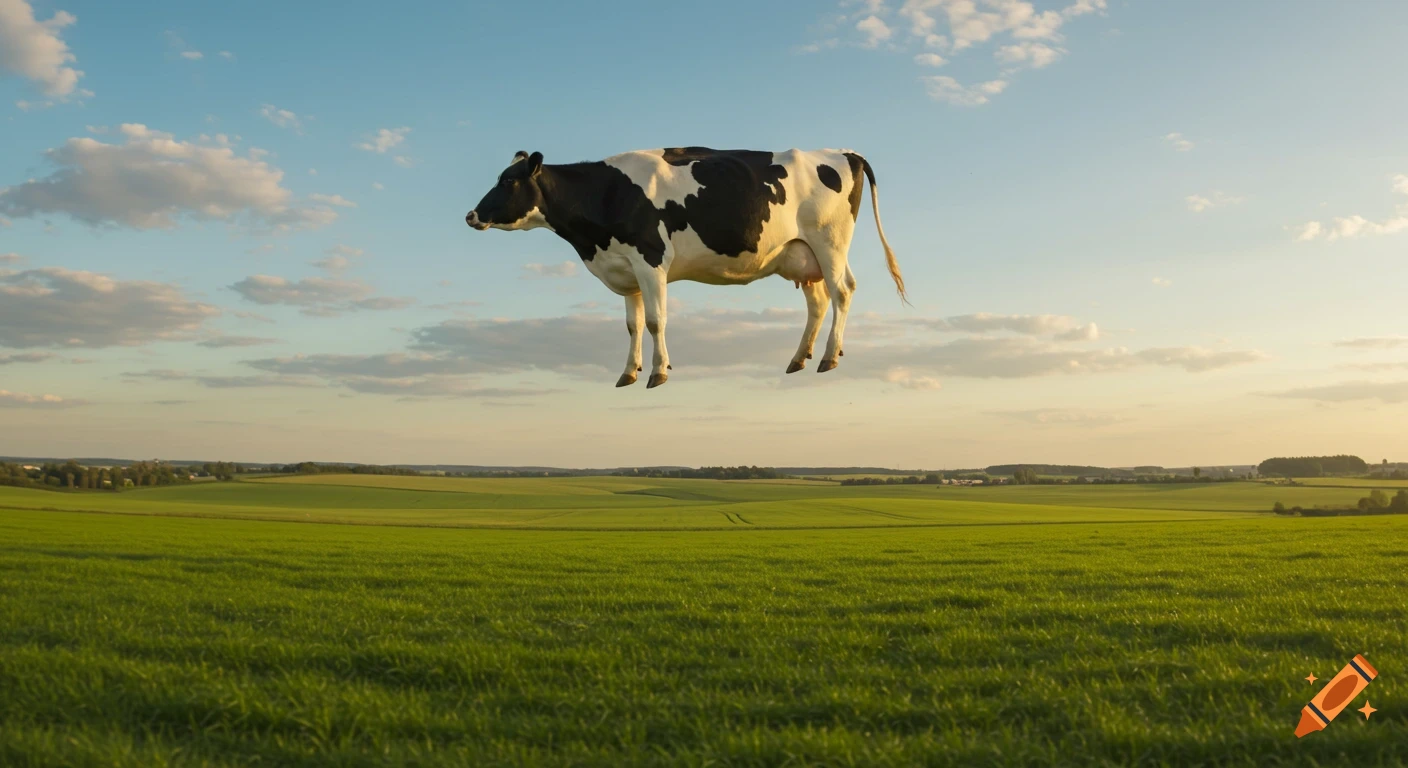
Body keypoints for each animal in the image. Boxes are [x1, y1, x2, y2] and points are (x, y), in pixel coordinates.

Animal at [465, 147, 906, 389]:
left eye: (507, 181)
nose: (471, 215)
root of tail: (844, 152)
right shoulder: (625, 269)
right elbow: (633, 325)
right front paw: (628, 372)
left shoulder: (651, 259)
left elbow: (656, 320)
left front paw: (658, 372)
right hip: (799, 254)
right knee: (817, 303)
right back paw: (799, 358)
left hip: (829, 243)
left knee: (843, 291)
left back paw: (829, 357)